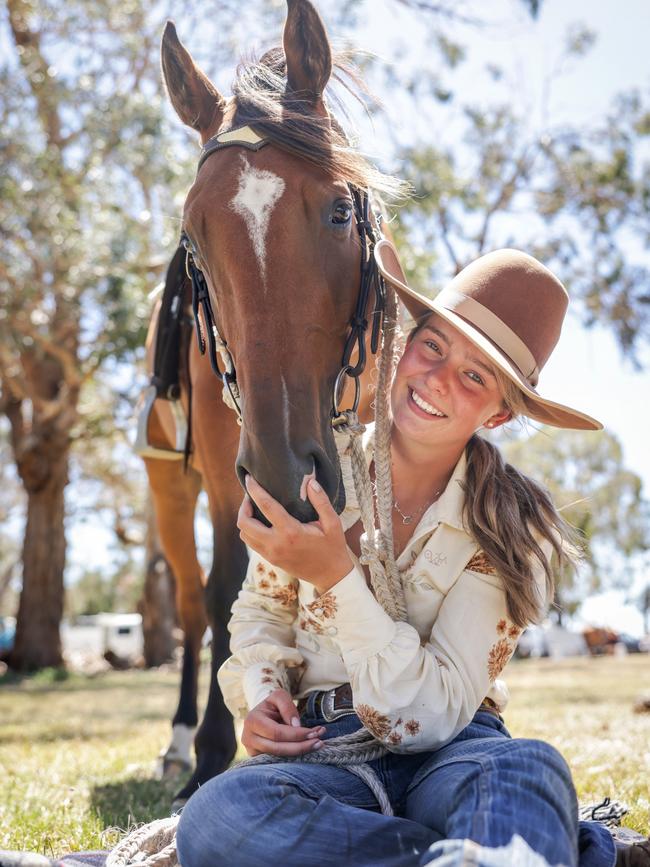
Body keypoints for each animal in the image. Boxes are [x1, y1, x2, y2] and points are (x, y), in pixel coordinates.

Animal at [140, 0, 404, 808]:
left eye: (340, 213)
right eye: (194, 238)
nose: (289, 474)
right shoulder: (234, 470)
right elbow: (229, 590)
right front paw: (214, 748)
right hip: (169, 489)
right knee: (189, 604)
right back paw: (179, 740)